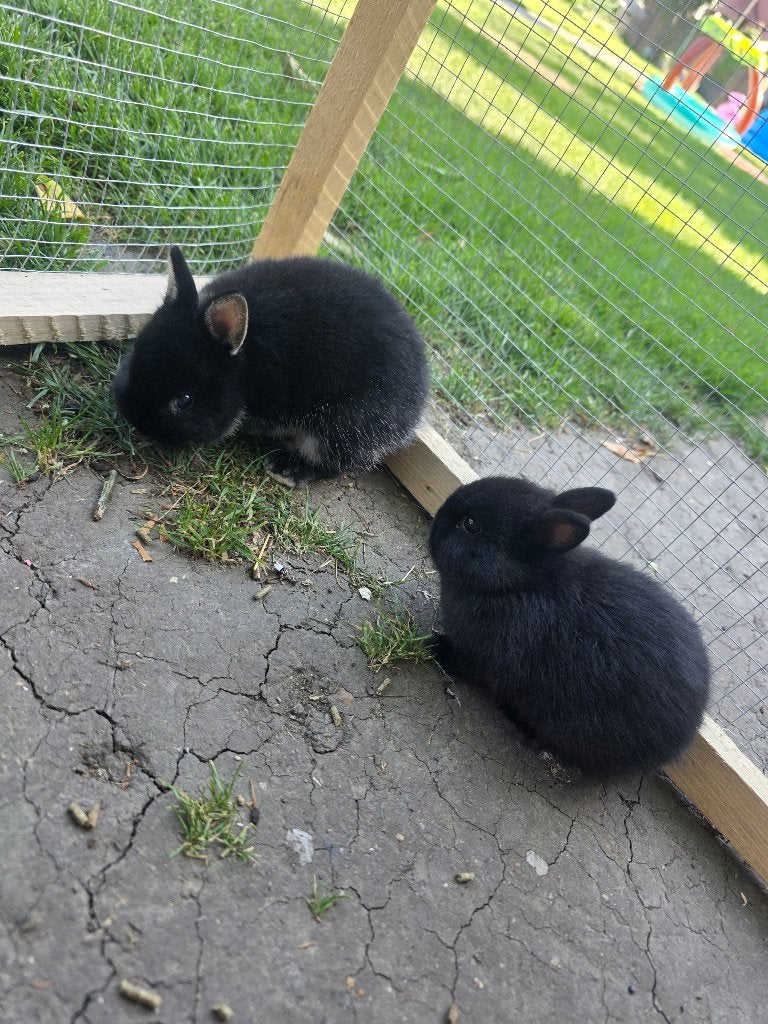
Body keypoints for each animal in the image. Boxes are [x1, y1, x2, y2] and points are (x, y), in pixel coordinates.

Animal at [113, 246, 429, 484]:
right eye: (135, 359)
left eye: (184, 400)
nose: (134, 418)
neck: (245, 364)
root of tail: (418, 403)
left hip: (345, 426)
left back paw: (286, 468)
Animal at [429, 476, 711, 777]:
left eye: (471, 525)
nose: (436, 524)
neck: (515, 583)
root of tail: (679, 742)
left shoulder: (481, 658)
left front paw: (435, 647)